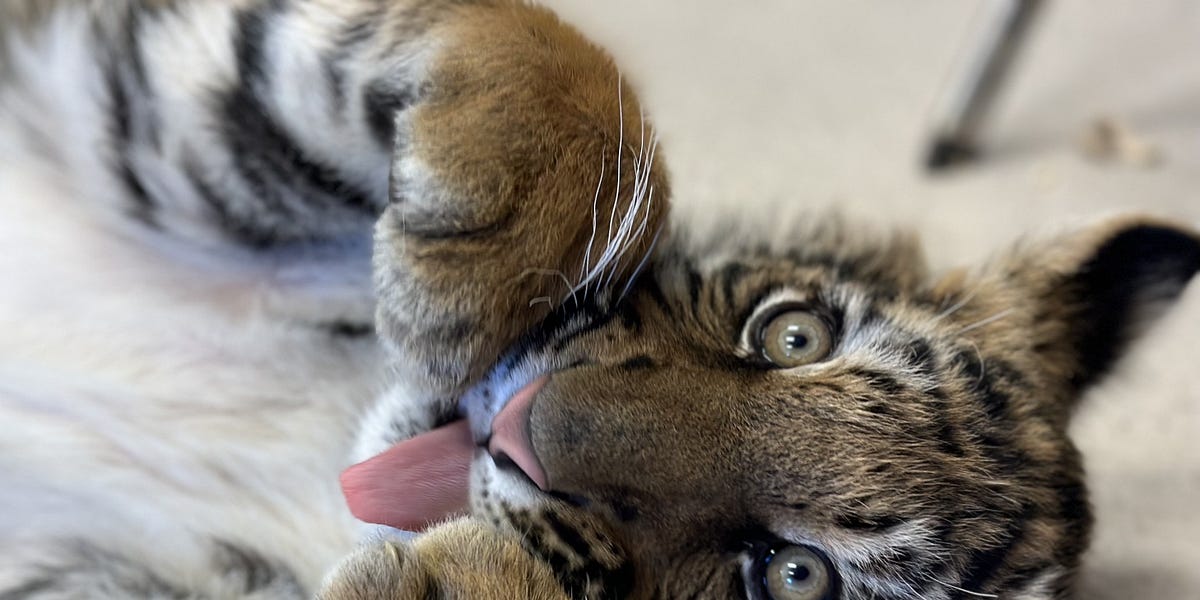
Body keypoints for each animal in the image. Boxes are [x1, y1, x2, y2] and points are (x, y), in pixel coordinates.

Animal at [2, 1, 1198, 599]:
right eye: (793, 331)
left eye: (794, 579)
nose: (523, 438)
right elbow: (550, 55)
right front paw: (465, 273)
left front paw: (455, 583)